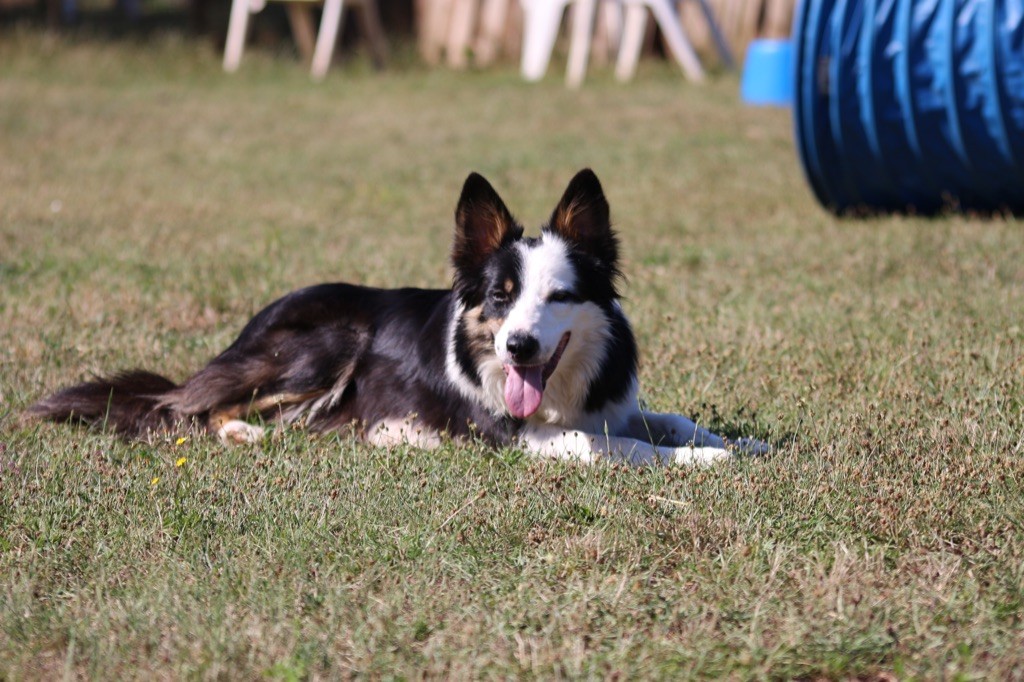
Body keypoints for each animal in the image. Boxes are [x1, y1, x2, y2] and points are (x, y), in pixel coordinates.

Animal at [28, 169, 767, 465]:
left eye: (559, 296)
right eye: (500, 295)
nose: (518, 347)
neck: (558, 391)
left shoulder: (611, 405)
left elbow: (669, 418)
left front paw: (741, 444)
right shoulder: (520, 437)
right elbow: (622, 447)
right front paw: (704, 462)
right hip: (326, 343)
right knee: (188, 409)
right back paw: (246, 433)